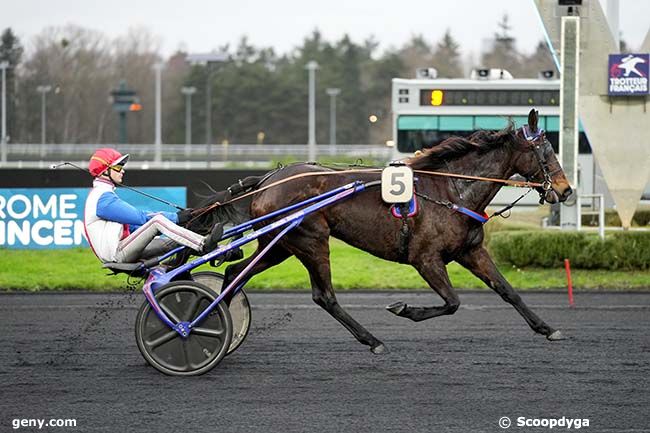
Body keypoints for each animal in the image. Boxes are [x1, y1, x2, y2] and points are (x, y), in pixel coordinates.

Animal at [196, 109, 568, 352]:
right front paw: (403, 309)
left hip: (278, 245)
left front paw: (547, 328)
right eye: (546, 152)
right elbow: (452, 302)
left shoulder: (470, 251)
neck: (452, 190)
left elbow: (508, 291)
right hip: (311, 241)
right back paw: (372, 340)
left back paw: (213, 322)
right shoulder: (425, 258)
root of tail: (268, 179)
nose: (565, 191)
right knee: (324, 296)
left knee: (234, 272)